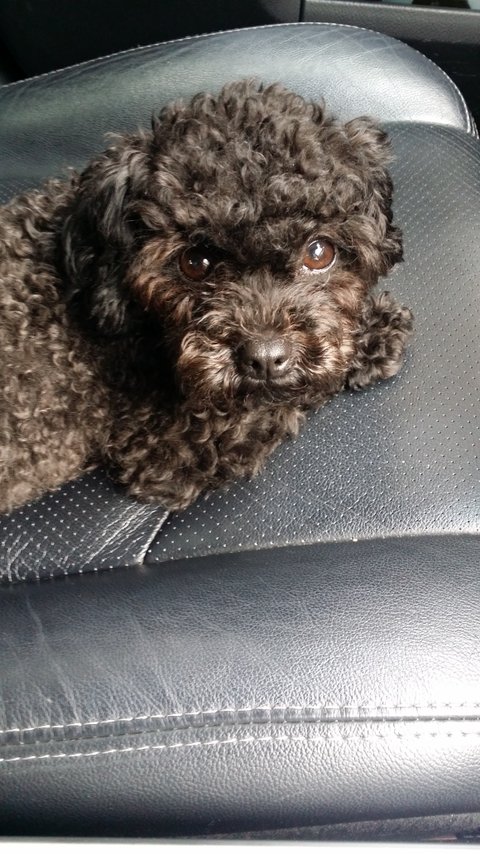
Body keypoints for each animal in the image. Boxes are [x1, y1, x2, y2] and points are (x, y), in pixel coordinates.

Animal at [0, 80, 413, 515]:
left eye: (319, 253)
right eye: (195, 262)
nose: (265, 359)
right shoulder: (168, 449)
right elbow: (285, 397)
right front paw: (373, 333)